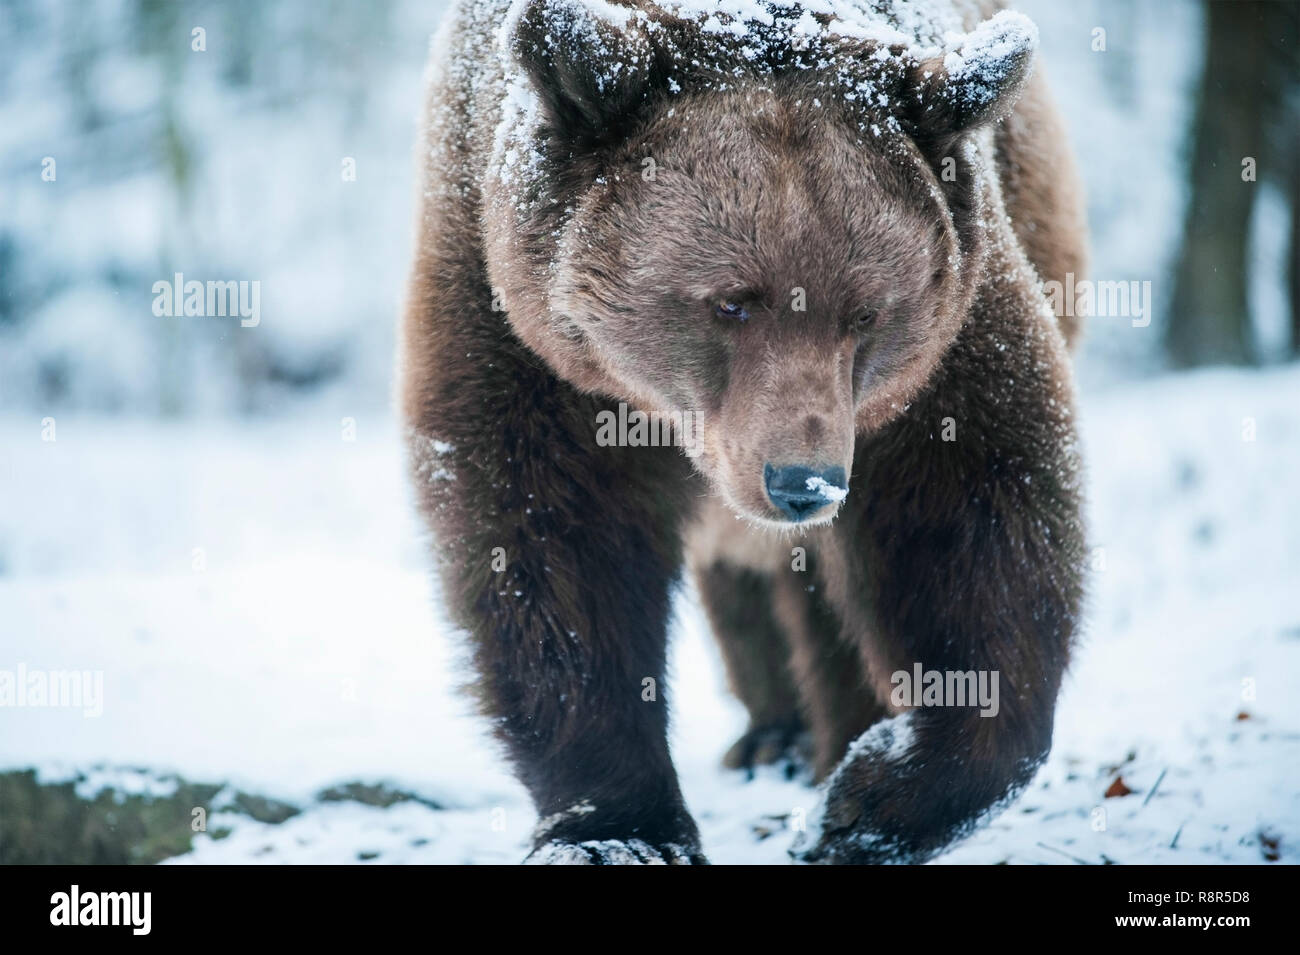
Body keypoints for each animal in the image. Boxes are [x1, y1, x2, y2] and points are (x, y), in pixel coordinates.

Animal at [400, 0, 1092, 867]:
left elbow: (973, 515)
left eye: (866, 311)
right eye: (730, 301)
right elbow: (550, 537)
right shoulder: (515, 321)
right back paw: (772, 735)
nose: (802, 482)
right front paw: (618, 828)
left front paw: (863, 803)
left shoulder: (940, 343)